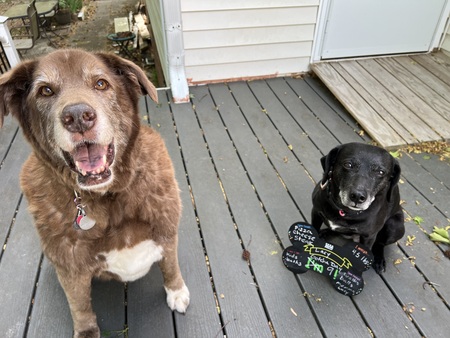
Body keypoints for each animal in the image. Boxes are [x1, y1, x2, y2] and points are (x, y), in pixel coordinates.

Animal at [0, 48, 189, 336]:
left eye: (101, 83)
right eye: (45, 91)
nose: (78, 116)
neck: (108, 197)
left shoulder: (166, 231)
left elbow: (170, 265)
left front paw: (177, 291)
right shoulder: (71, 269)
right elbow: (80, 307)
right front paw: (86, 330)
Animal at [312, 142, 404, 272]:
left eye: (381, 172)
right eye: (348, 164)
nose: (357, 196)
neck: (345, 211)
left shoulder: (368, 237)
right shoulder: (315, 212)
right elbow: (313, 229)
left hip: (395, 226)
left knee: (380, 243)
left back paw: (379, 259)